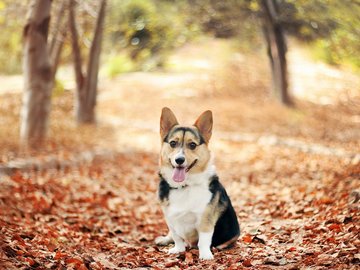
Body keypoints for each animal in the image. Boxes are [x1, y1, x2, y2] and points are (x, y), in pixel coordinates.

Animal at [156, 107, 240, 260]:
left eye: (192, 145)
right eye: (173, 143)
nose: (179, 160)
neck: (184, 186)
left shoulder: (205, 220)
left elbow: (204, 240)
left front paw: (205, 255)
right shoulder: (171, 218)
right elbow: (177, 237)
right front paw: (178, 249)